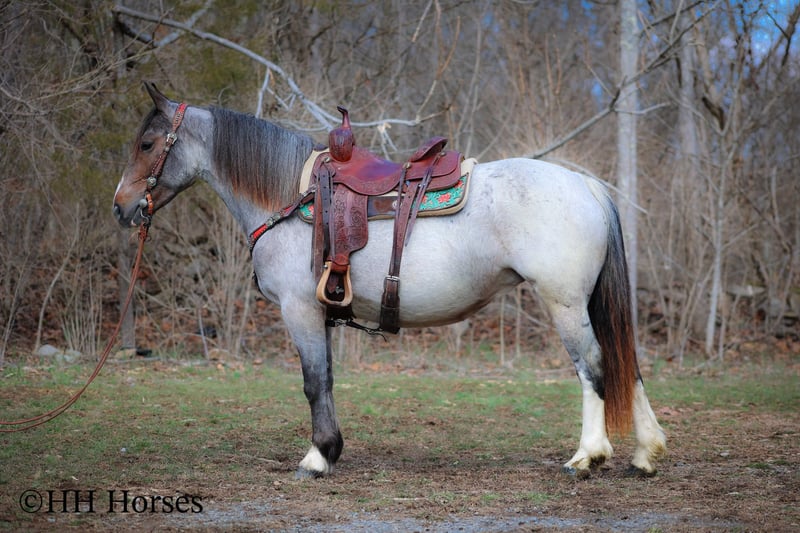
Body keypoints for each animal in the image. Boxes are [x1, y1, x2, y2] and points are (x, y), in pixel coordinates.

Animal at [113, 82, 666, 479]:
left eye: (147, 143)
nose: (121, 207)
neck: (289, 200)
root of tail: (586, 185)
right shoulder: (321, 313)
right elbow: (327, 380)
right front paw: (331, 451)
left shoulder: (300, 310)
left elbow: (313, 382)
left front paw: (318, 458)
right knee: (628, 363)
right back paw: (645, 453)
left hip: (565, 304)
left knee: (594, 366)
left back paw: (588, 456)